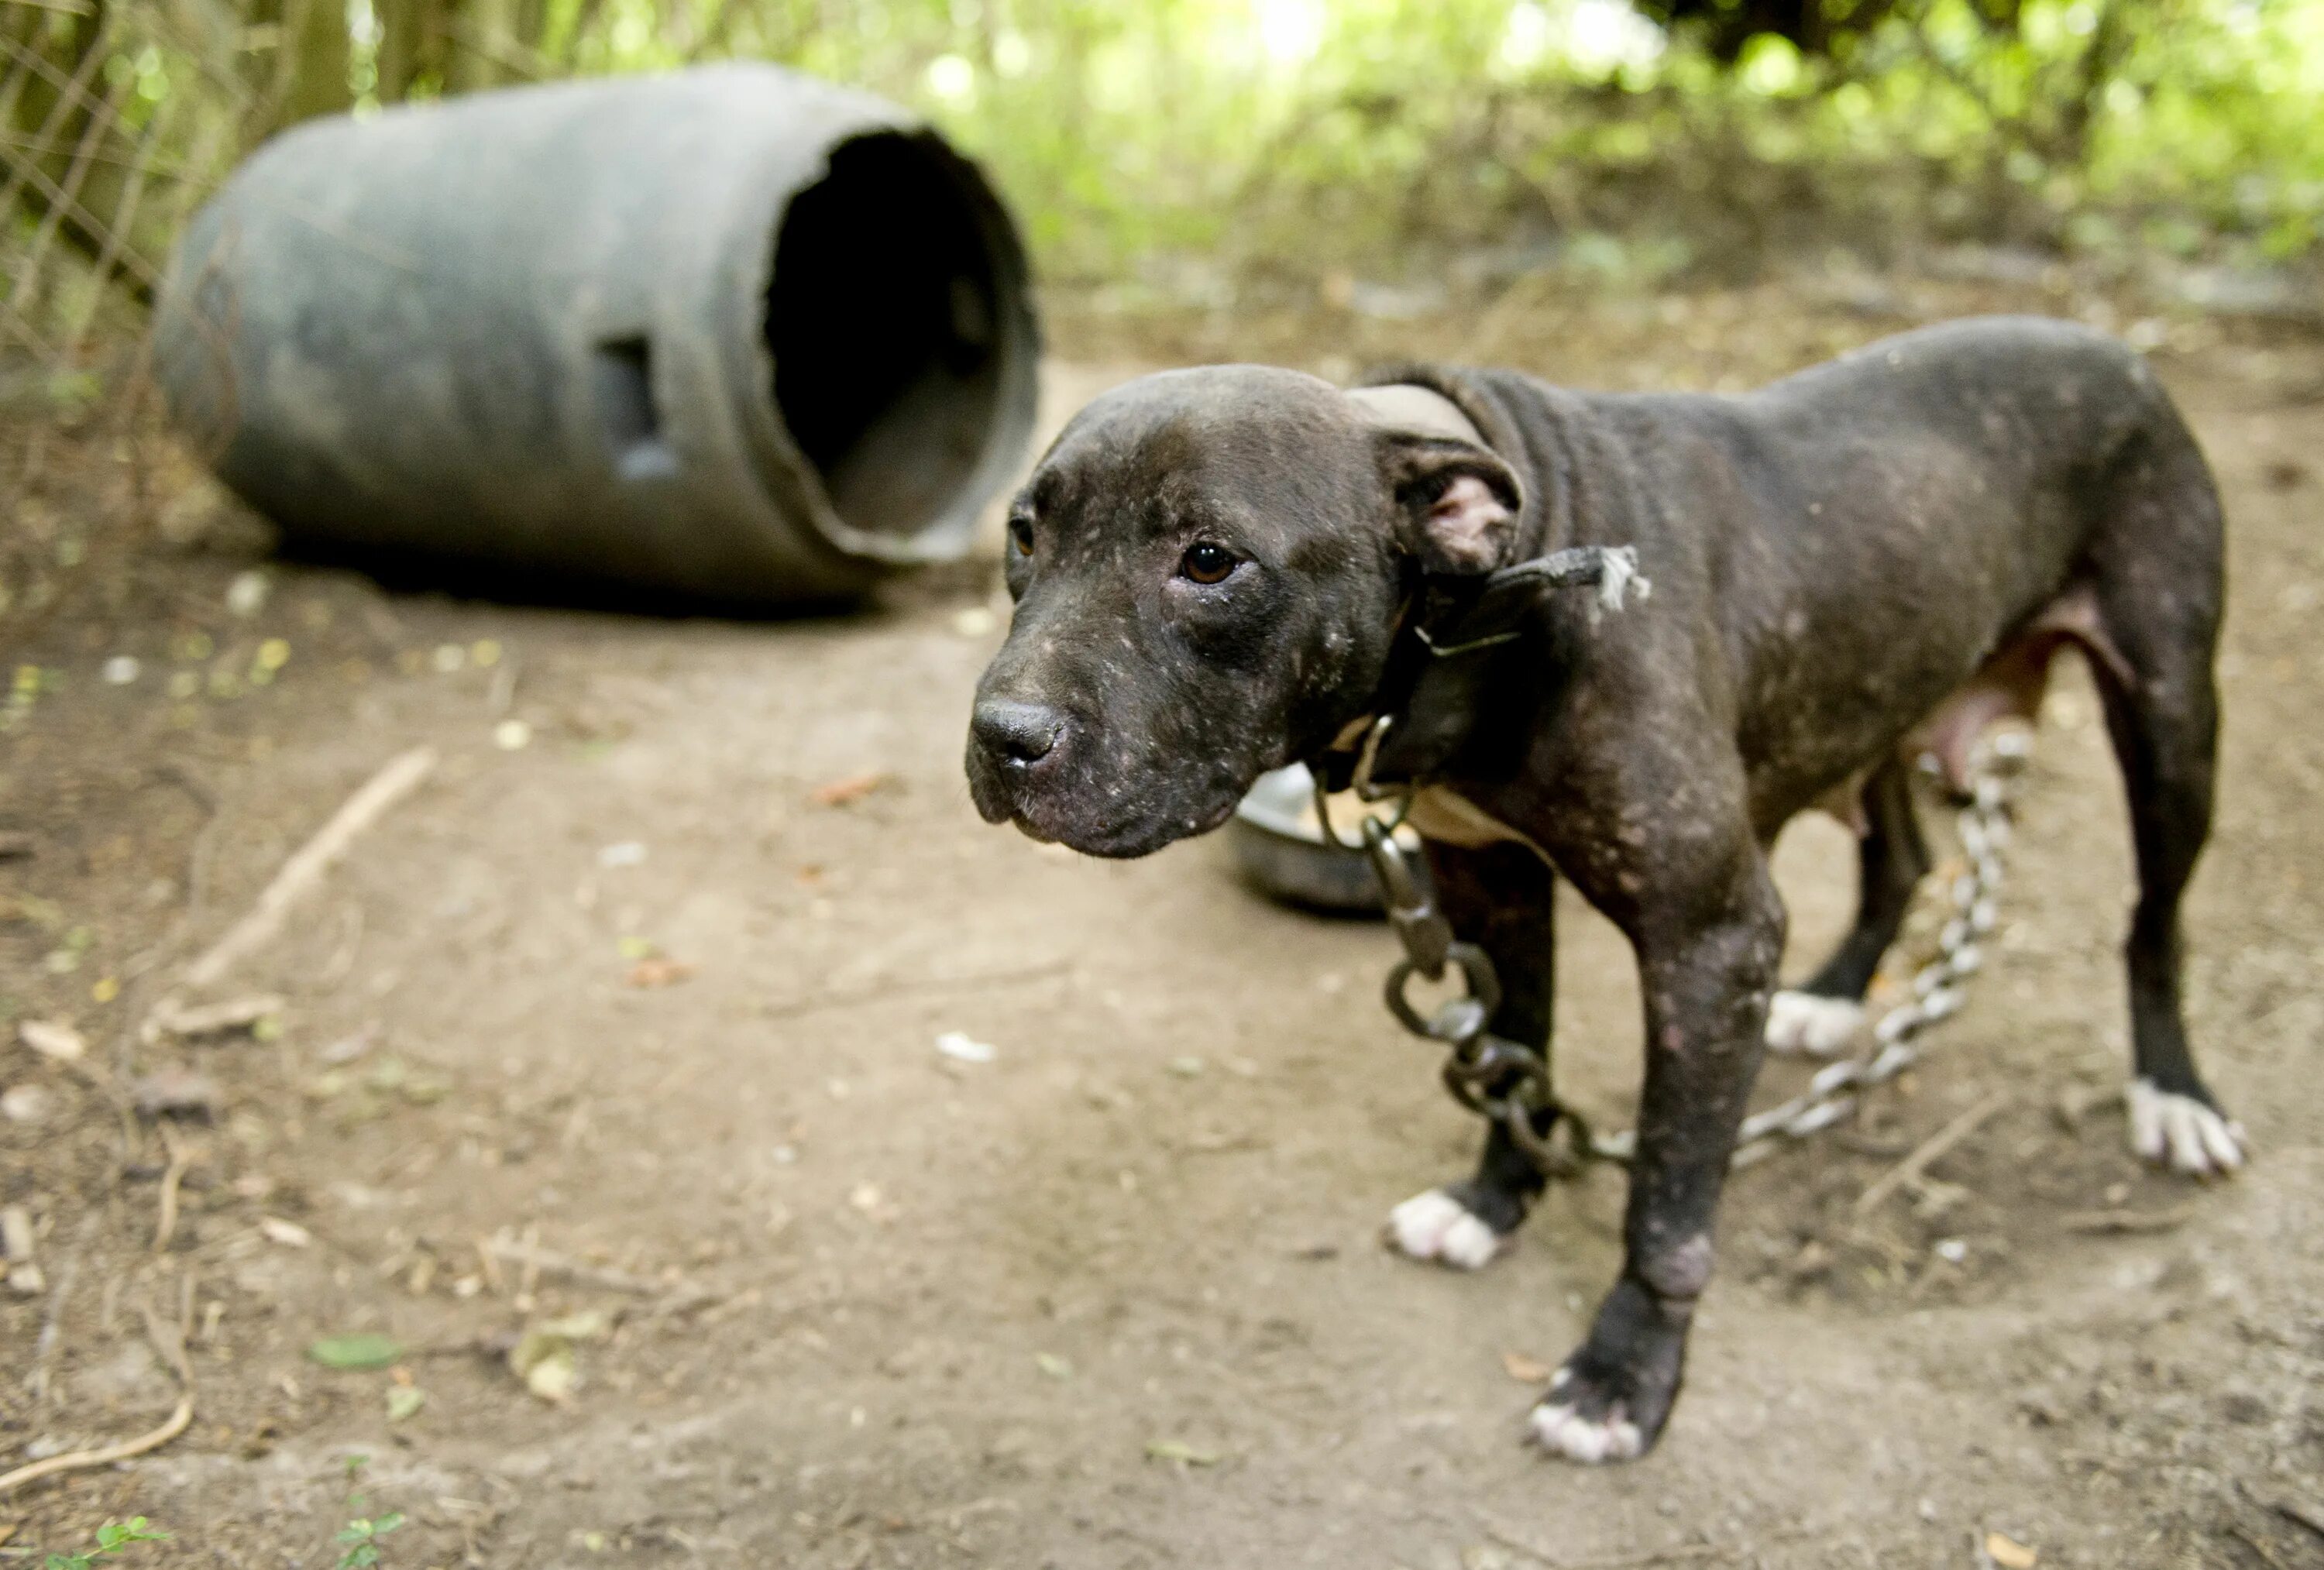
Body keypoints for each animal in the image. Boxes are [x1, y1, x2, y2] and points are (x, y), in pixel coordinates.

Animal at [957, 315, 2231, 1458]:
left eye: (1212, 560)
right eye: (1024, 534)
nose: (1000, 737)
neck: (1489, 605)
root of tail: (2114, 346)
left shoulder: (1711, 941)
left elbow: (1665, 1196)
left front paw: (1624, 1376)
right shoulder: (1489, 883)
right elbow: (1514, 1052)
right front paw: (1489, 1207)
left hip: (2171, 720)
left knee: (2155, 922)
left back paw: (2175, 1092)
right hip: (1880, 696)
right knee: (1906, 854)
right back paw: (1838, 992)